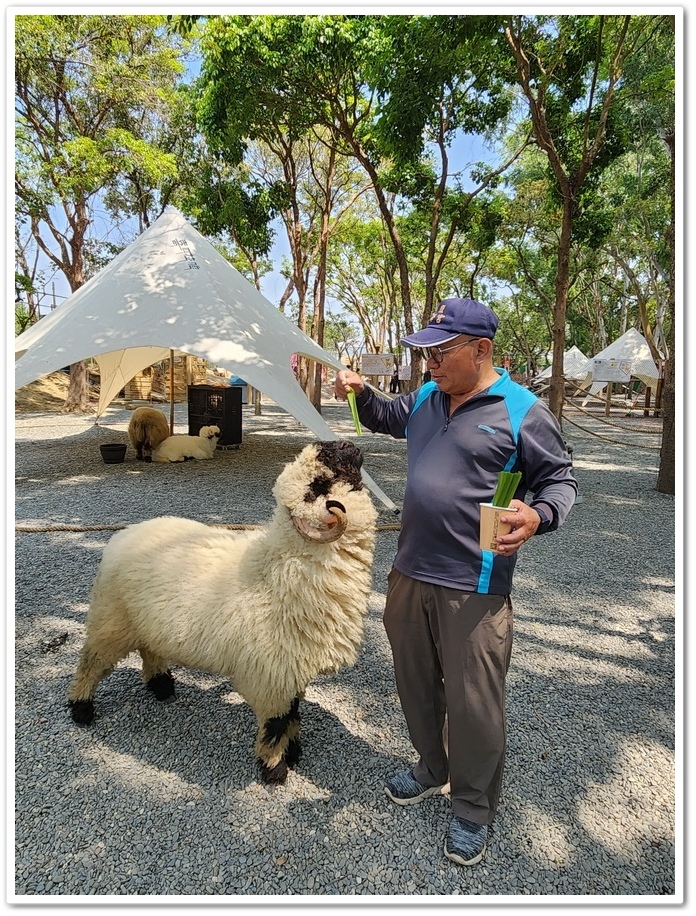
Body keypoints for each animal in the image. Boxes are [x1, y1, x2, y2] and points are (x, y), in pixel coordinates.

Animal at [66, 440, 376, 784]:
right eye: (318, 485)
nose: (346, 443)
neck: (275, 573)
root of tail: (125, 533)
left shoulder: (289, 673)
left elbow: (294, 716)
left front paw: (294, 753)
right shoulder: (269, 679)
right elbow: (277, 724)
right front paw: (274, 768)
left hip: (146, 623)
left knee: (149, 650)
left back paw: (161, 687)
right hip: (110, 621)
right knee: (90, 664)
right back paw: (81, 709)